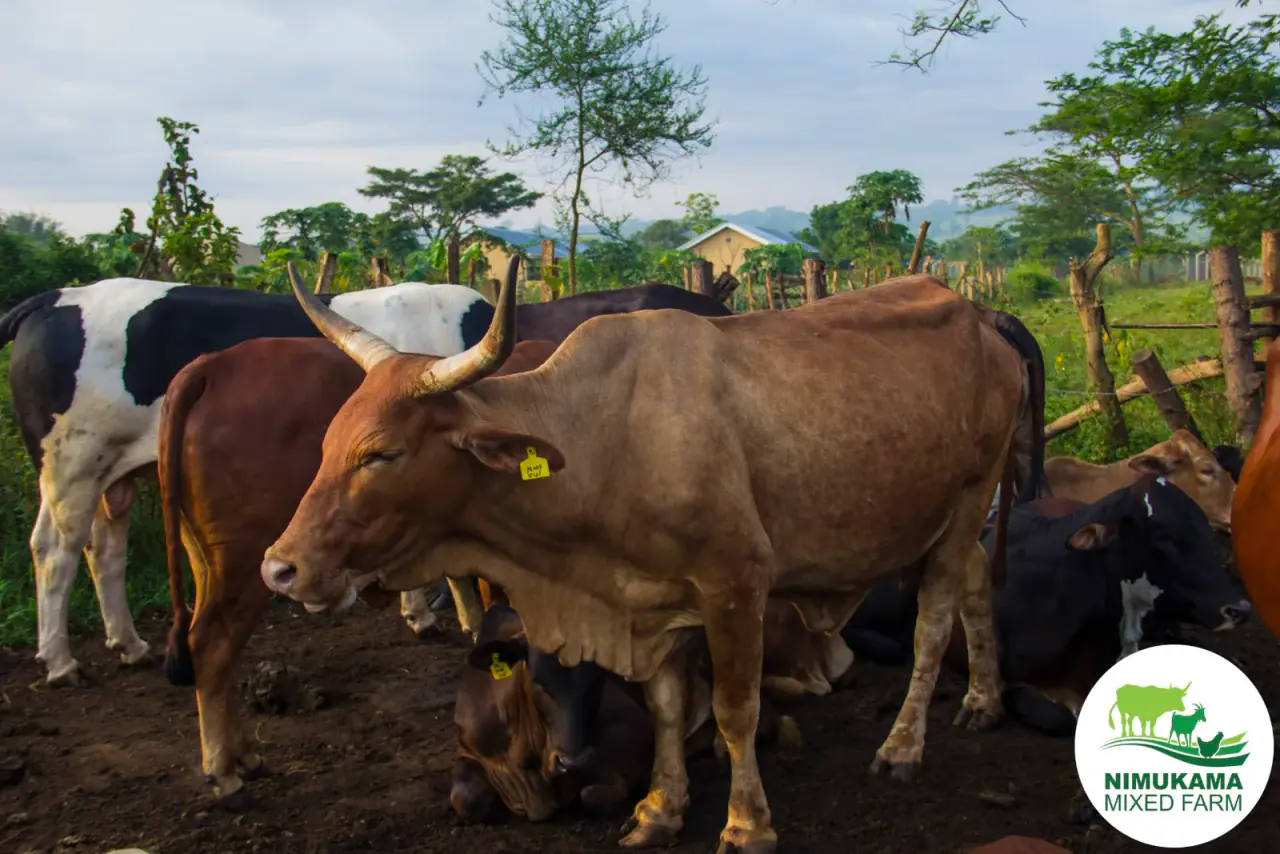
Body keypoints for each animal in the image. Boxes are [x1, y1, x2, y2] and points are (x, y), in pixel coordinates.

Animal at [1, 275, 731, 687]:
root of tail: (50, 299)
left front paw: (428, 611)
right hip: (70, 464)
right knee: (54, 550)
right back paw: (60, 660)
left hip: (112, 474)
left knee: (105, 549)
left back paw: (128, 644)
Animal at [260, 257, 1038, 853]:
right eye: (329, 441)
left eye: (381, 454)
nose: (280, 567)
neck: (603, 439)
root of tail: (976, 311)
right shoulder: (650, 599)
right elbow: (666, 708)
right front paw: (661, 811)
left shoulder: (735, 585)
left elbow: (734, 710)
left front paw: (746, 825)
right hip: (943, 517)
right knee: (974, 585)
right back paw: (984, 700)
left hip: (967, 500)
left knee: (933, 622)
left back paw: (903, 747)